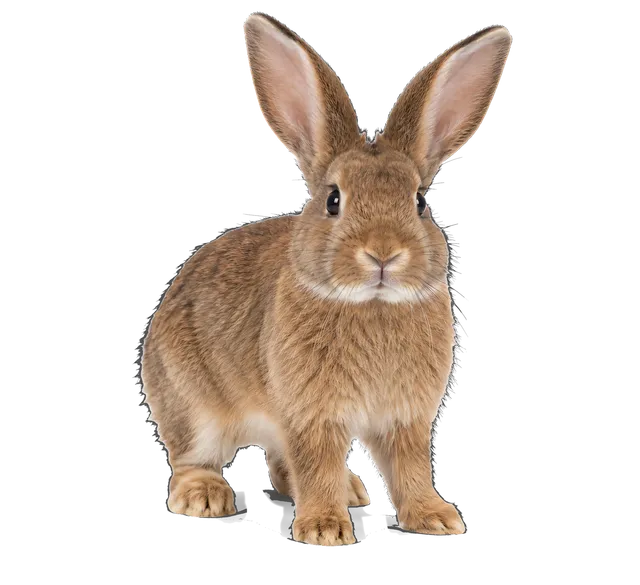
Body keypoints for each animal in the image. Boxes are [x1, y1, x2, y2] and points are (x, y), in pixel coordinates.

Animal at [141, 12, 512, 546]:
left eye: (420, 202)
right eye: (333, 200)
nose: (383, 253)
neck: (372, 304)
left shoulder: (404, 419)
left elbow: (410, 469)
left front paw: (436, 517)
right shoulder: (311, 414)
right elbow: (315, 465)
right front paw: (324, 530)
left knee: (280, 465)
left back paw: (352, 489)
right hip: (193, 407)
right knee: (195, 457)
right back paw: (205, 497)